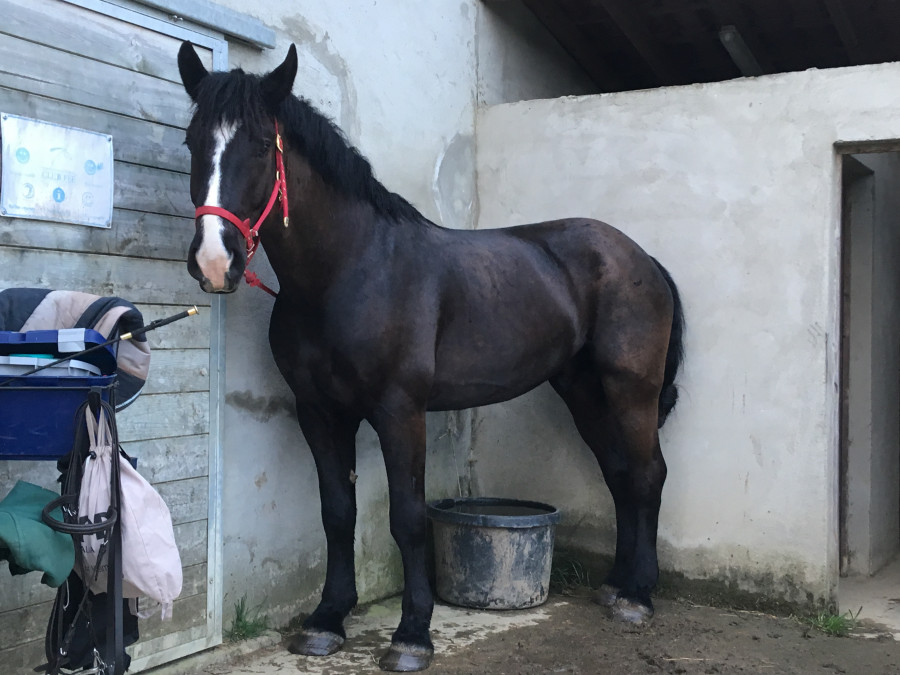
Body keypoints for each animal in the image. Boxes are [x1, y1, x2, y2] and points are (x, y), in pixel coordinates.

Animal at [177, 41, 685, 672]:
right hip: (584, 391)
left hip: (630, 389)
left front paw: (412, 634)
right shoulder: (319, 411)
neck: (349, 270)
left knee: (647, 474)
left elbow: (409, 518)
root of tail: (640, 258)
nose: (213, 261)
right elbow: (336, 513)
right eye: (192, 142)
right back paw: (616, 586)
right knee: (620, 474)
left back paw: (638, 595)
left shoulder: (400, 411)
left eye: (257, 147)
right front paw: (326, 620)